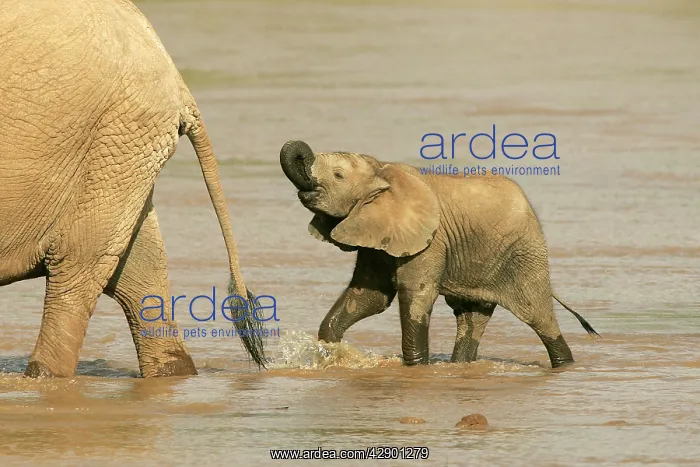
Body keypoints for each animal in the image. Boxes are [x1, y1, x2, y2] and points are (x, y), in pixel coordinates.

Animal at [279, 140, 599, 368]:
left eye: (338, 175)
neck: (381, 168)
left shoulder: (430, 241)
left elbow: (415, 294)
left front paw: (416, 366)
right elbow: (370, 296)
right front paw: (331, 350)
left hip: (525, 253)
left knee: (540, 318)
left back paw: (564, 364)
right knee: (471, 317)